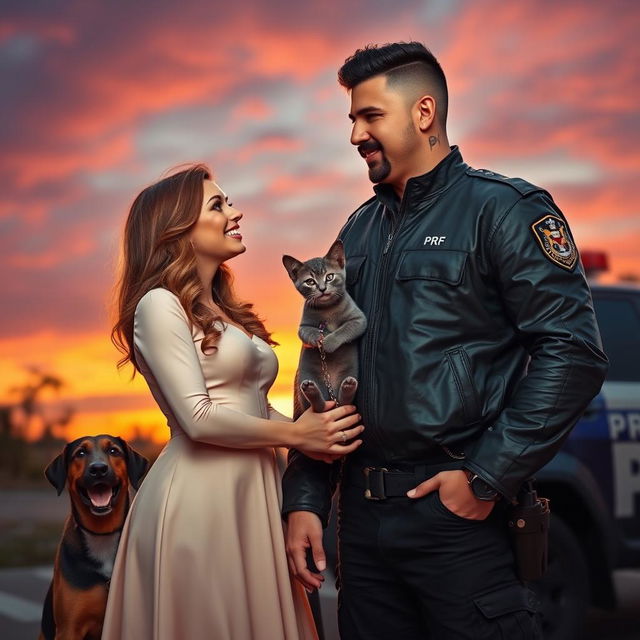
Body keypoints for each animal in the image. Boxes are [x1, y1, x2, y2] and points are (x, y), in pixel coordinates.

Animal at [282, 238, 368, 418]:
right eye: (310, 281)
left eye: (329, 276)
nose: (322, 289)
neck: (328, 310)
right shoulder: (304, 326)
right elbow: (308, 332)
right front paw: (318, 338)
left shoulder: (359, 319)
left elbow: (344, 329)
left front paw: (328, 342)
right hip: (307, 376)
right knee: (319, 407)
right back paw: (312, 390)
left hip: (350, 372)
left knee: (345, 402)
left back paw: (348, 386)